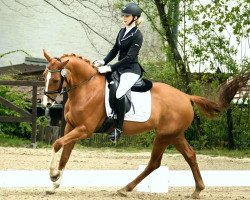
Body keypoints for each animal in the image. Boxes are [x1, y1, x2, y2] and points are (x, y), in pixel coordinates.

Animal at [42, 50, 248, 198]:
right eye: (44, 75)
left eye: (55, 79)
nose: (46, 104)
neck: (86, 88)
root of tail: (186, 96)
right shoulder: (71, 127)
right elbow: (65, 154)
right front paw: (55, 184)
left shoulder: (84, 129)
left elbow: (57, 144)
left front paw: (52, 175)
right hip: (175, 135)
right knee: (190, 155)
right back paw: (197, 190)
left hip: (164, 135)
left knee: (155, 162)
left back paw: (125, 189)